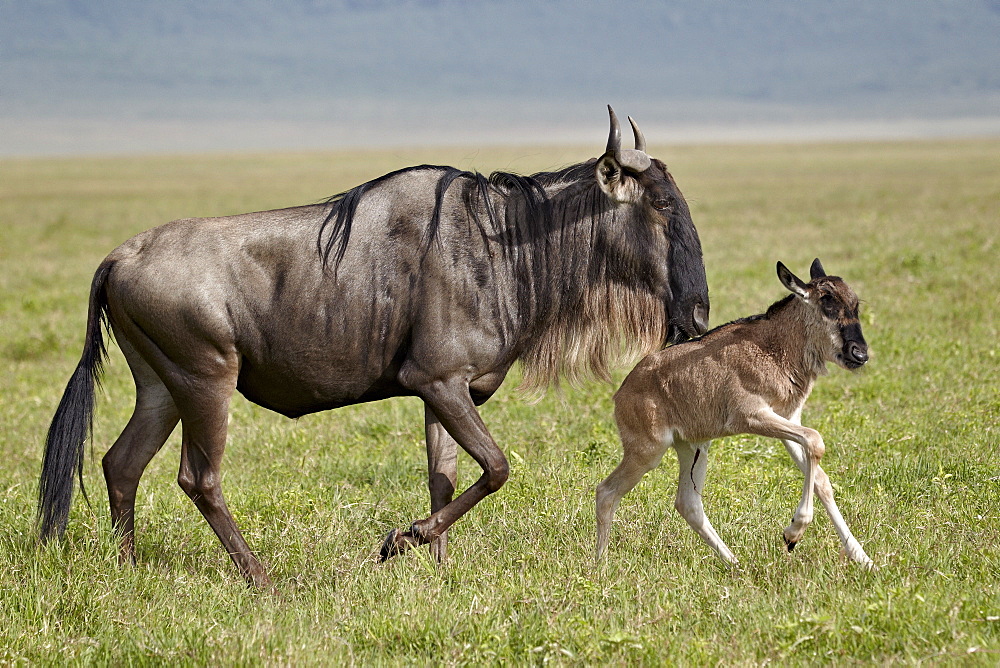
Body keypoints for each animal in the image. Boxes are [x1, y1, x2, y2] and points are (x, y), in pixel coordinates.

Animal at [596, 258, 872, 568]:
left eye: (854, 303)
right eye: (826, 301)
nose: (860, 354)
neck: (776, 346)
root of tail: (621, 393)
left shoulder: (788, 420)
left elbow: (821, 476)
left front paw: (864, 559)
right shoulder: (751, 417)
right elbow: (815, 439)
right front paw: (792, 534)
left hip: (693, 447)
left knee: (688, 503)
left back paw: (733, 563)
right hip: (647, 452)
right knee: (606, 492)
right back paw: (600, 566)